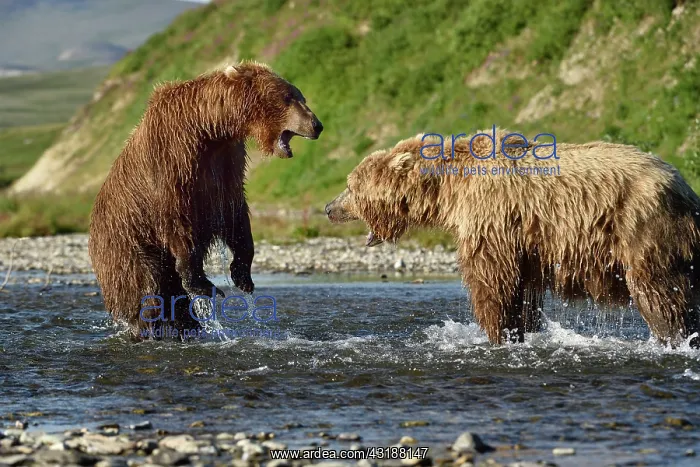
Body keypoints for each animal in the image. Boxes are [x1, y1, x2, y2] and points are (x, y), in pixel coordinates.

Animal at [89, 61, 323, 338]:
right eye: (288, 97)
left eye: (300, 96)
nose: (316, 125)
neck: (207, 130)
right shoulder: (173, 161)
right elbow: (178, 222)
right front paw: (205, 285)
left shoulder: (225, 166)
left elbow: (235, 215)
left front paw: (243, 276)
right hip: (128, 245)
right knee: (147, 291)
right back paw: (148, 327)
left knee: (174, 300)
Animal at [325, 127, 700, 347]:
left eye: (350, 186)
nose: (330, 208)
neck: (449, 188)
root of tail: (686, 188)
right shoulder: (529, 245)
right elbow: (525, 293)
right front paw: (522, 331)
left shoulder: (493, 217)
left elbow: (492, 281)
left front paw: (496, 334)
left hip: (644, 229)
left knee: (660, 293)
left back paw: (675, 337)